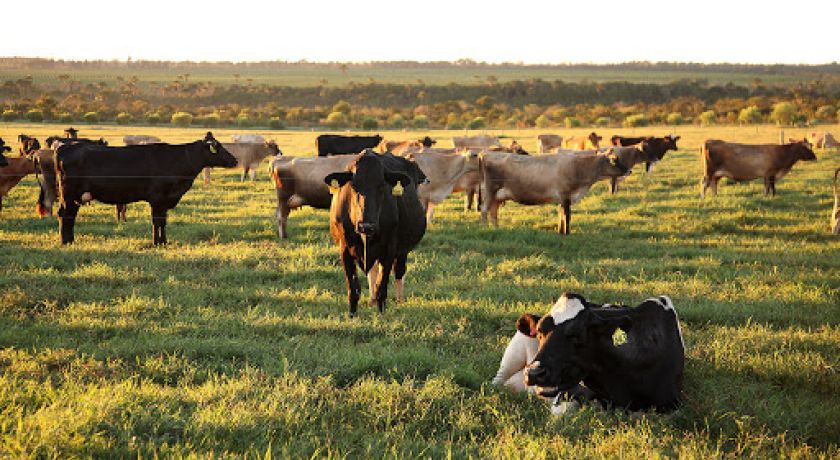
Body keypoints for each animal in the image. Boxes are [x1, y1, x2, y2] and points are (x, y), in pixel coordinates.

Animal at [53, 131, 236, 244]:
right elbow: (157, 222)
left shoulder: (164, 201)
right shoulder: (158, 199)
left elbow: (163, 222)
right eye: (217, 147)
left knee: (69, 216)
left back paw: (70, 240)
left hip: (74, 198)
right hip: (69, 195)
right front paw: (157, 242)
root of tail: (65, 147)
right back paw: (65, 241)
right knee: (64, 215)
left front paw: (164, 242)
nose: (235, 160)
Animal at [322, 150, 426, 316]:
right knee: (373, 271)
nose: (366, 226)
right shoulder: (344, 249)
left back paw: (399, 301)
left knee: (399, 271)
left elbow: (381, 287)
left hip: (402, 250)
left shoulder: (389, 249)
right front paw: (352, 316)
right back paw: (371, 301)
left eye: (382, 186)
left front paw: (381, 315)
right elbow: (354, 288)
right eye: (353, 186)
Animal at [482, 151, 628, 234]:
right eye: (614, 160)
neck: (578, 167)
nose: (629, 170)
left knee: (493, 211)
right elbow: (567, 215)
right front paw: (567, 233)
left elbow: (561, 214)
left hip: (497, 196)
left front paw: (560, 231)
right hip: (490, 190)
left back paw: (496, 228)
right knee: (484, 208)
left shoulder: (562, 199)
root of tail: (486, 154)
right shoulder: (566, 195)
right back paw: (484, 227)